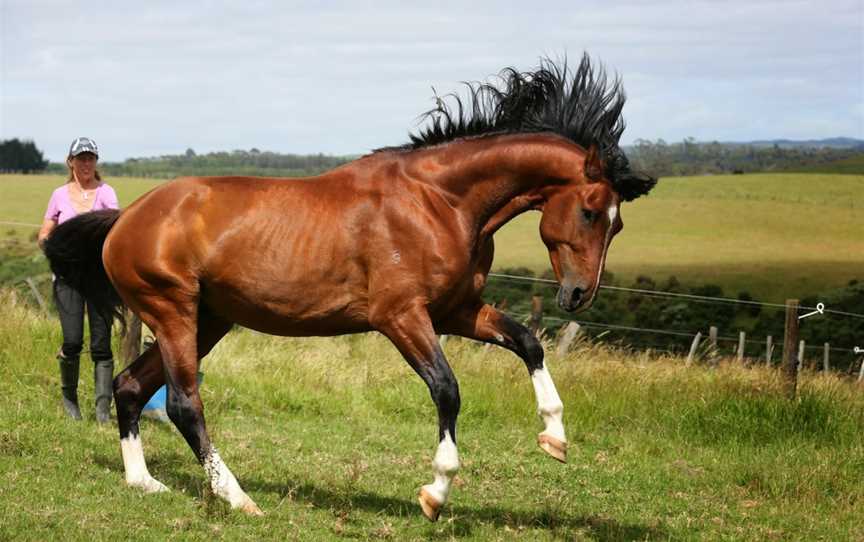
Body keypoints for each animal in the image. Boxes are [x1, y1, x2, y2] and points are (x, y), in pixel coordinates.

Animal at [44, 54, 656, 524]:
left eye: (619, 222)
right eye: (589, 211)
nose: (578, 295)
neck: (441, 202)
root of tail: (125, 220)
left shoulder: (456, 310)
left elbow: (528, 343)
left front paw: (555, 438)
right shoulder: (401, 316)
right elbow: (447, 390)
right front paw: (435, 494)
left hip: (209, 320)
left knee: (130, 385)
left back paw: (145, 483)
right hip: (174, 311)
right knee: (183, 403)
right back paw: (239, 499)